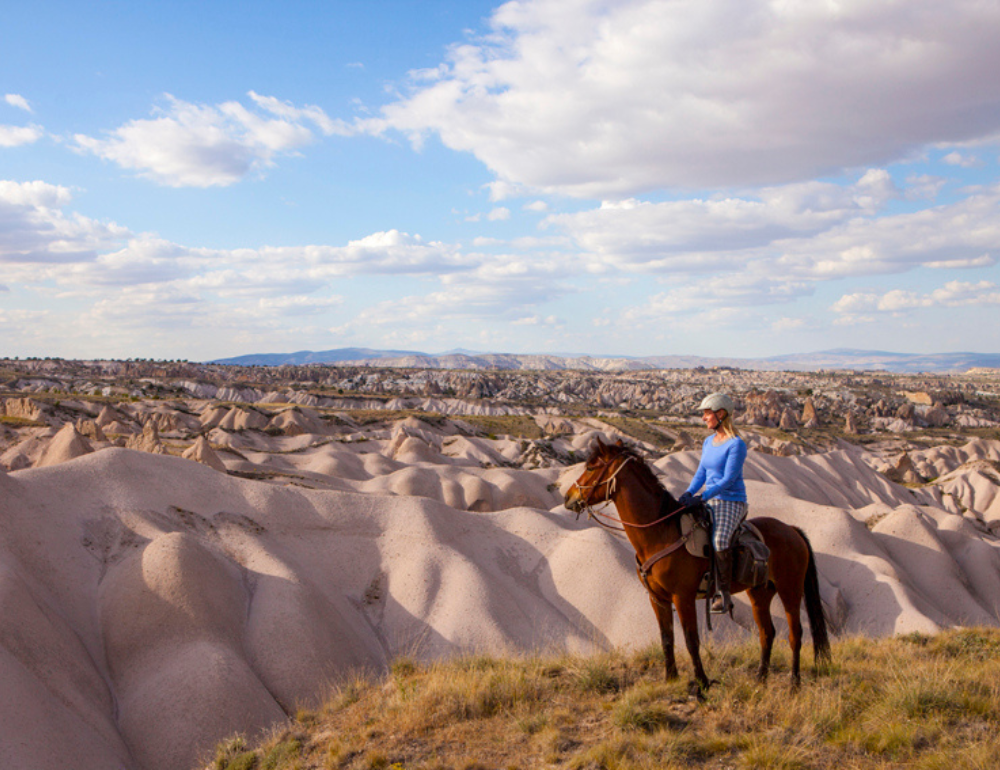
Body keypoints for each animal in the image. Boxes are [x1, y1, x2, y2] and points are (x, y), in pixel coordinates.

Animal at [564, 436, 828, 692]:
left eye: (590, 467)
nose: (568, 497)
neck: (660, 533)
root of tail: (791, 530)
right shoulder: (657, 598)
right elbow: (667, 638)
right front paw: (671, 678)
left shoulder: (683, 597)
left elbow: (691, 640)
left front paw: (701, 683)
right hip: (760, 593)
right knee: (767, 633)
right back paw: (760, 680)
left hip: (790, 589)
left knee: (795, 634)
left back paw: (794, 683)